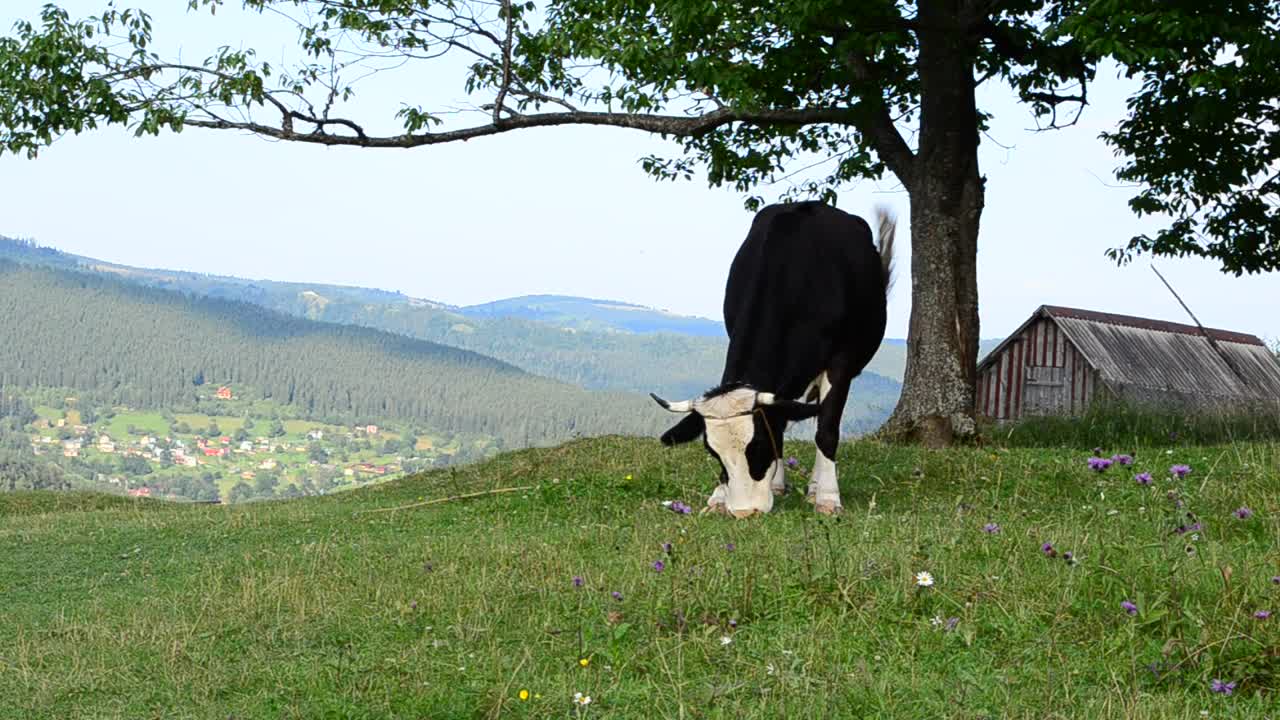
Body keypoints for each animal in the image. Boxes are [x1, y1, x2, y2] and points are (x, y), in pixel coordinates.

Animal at [650, 202, 890, 515]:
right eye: (713, 452)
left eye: (760, 445)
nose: (744, 511)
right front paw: (719, 495)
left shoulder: (841, 360)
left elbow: (826, 429)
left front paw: (827, 497)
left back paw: (815, 488)